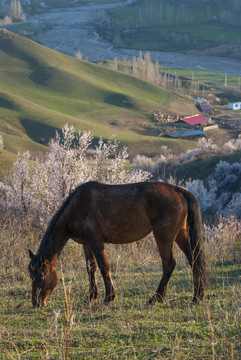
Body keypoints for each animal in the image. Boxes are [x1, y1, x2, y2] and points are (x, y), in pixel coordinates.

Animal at [27, 181, 205, 308]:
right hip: (180, 234)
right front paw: (91, 297)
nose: (37, 303)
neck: (76, 206)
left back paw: (156, 298)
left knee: (169, 264)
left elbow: (103, 267)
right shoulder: (86, 244)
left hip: (163, 236)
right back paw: (197, 296)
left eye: (41, 276)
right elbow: (91, 268)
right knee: (194, 259)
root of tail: (179, 191)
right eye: (31, 276)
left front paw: (109, 297)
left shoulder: (96, 241)